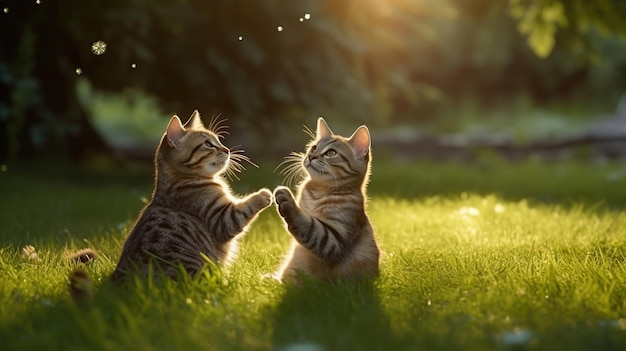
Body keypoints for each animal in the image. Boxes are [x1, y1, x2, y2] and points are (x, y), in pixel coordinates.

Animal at [110, 111, 270, 282]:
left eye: (219, 140)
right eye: (208, 144)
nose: (227, 150)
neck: (185, 178)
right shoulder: (221, 219)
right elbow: (245, 207)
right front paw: (265, 194)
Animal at [274, 118, 380, 284]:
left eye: (331, 153)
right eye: (314, 147)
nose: (311, 156)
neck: (320, 191)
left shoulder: (335, 240)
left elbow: (309, 225)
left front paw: (288, 202)